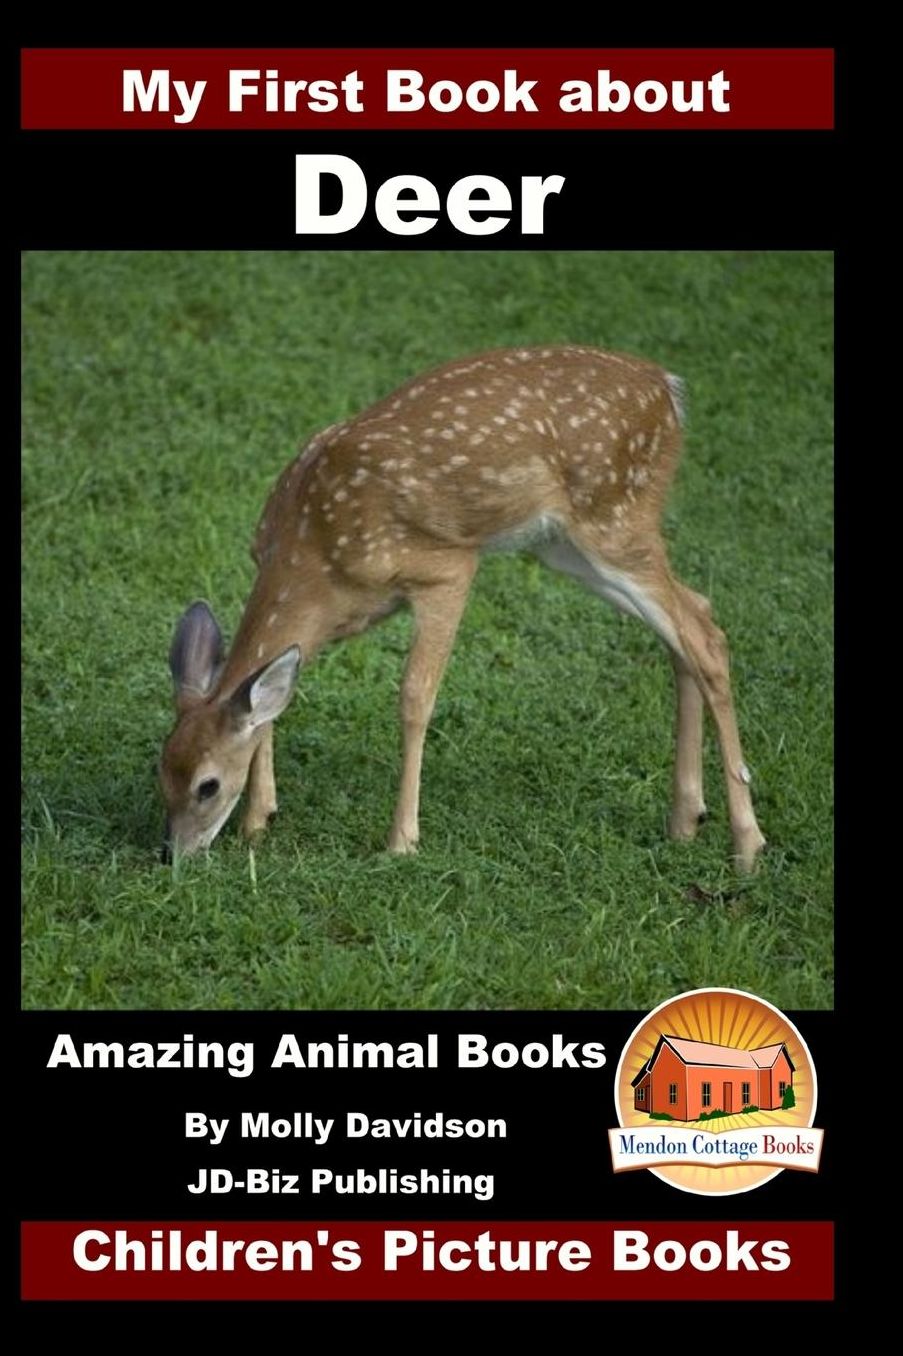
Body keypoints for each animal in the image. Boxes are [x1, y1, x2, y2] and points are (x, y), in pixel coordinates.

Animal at [159, 345, 765, 871]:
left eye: (207, 786)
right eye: (161, 770)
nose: (172, 856)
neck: (313, 553)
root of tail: (668, 389)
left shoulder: (445, 568)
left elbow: (414, 698)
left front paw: (402, 840)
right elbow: (275, 701)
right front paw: (258, 820)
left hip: (615, 515)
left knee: (704, 637)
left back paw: (747, 845)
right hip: (567, 546)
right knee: (693, 616)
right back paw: (686, 819)